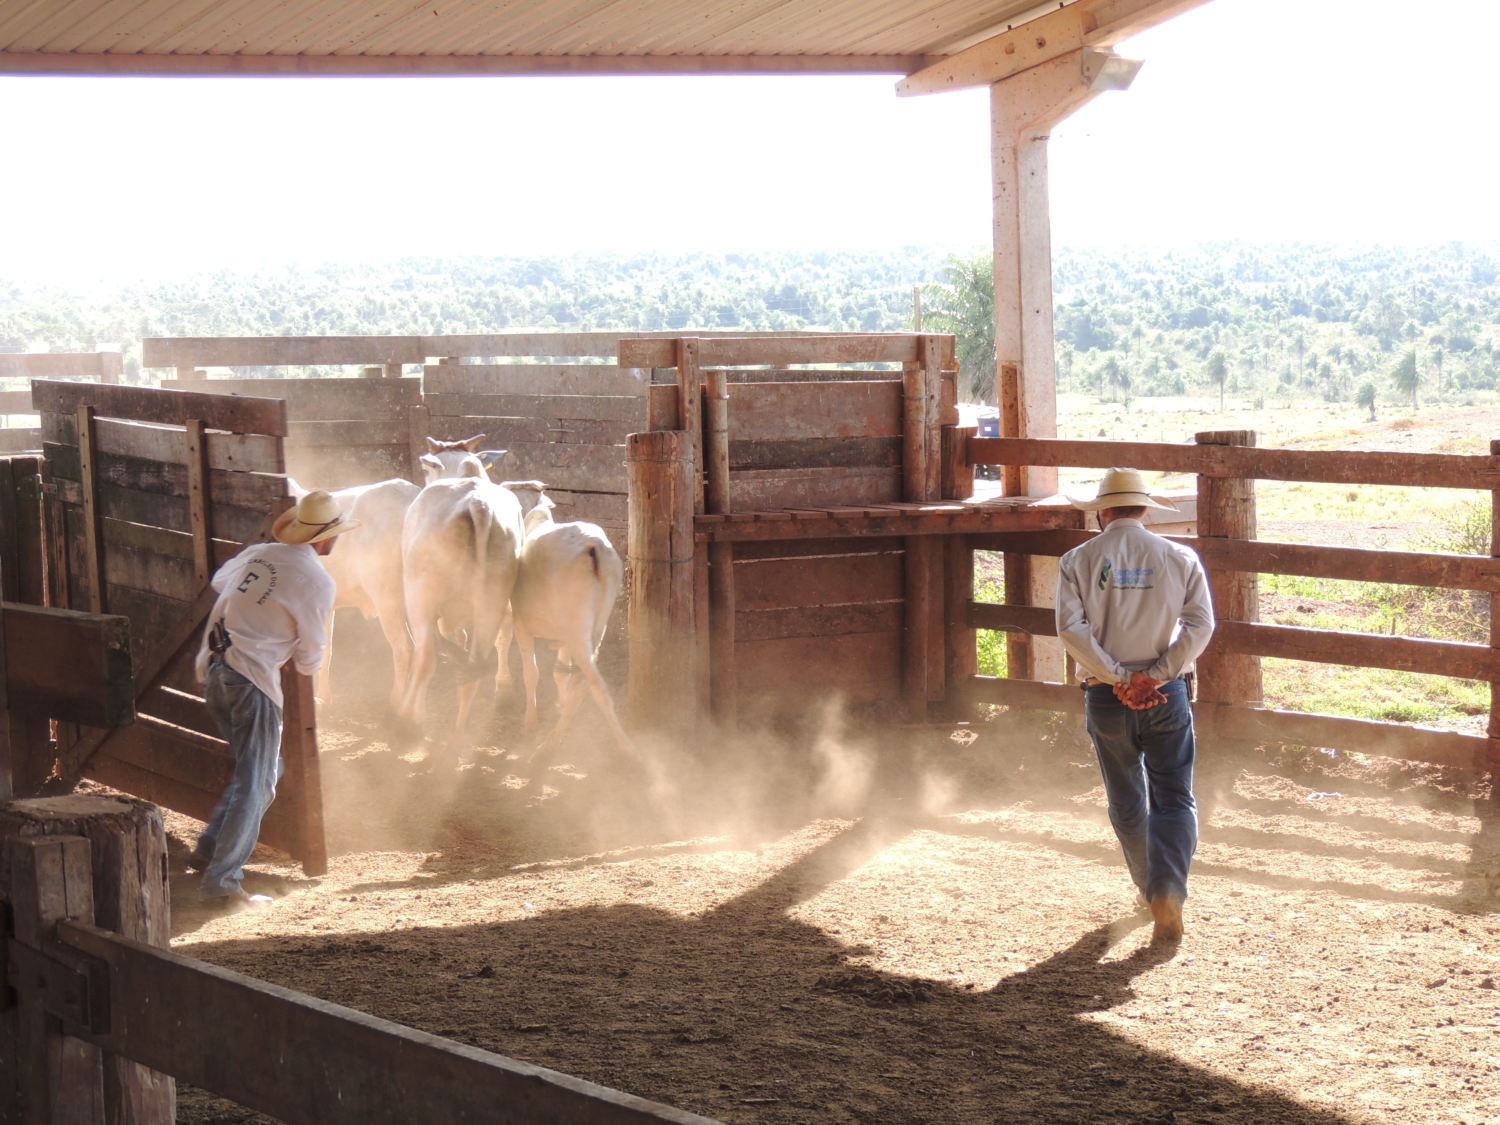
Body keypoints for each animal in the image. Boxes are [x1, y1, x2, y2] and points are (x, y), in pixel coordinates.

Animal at [396, 444, 525, 744]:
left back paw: (408, 720)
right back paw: (458, 734)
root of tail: (478, 505)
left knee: (425, 656)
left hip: (421, 595)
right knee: (476, 662)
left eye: (425, 470)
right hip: (492, 600)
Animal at [507, 492, 630, 759]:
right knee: (584, 683)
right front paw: (559, 703)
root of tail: (593, 545)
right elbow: (559, 674)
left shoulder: (521, 625)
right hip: (593, 629)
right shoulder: (563, 639)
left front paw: (530, 722)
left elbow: (531, 673)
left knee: (596, 684)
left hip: (576, 628)